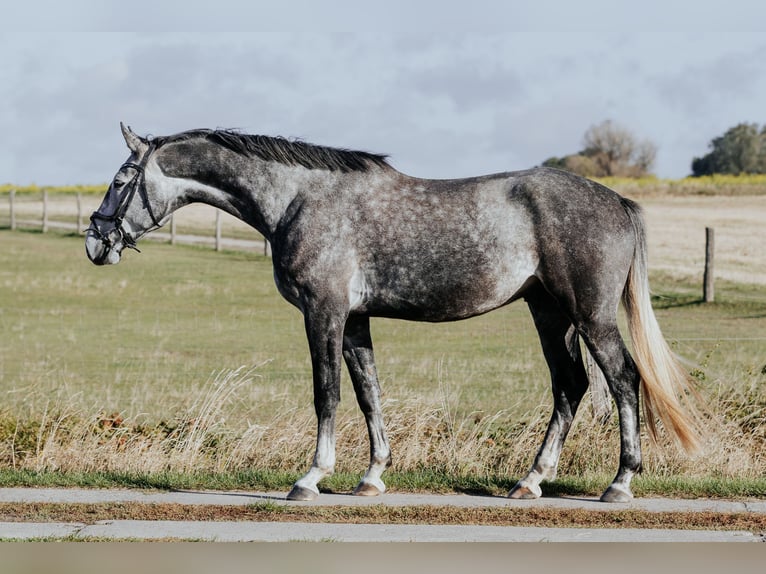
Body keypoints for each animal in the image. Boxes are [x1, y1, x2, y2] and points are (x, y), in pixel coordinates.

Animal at [85, 124, 704, 502]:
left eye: (119, 180)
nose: (96, 242)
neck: (298, 199)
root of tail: (617, 201)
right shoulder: (355, 320)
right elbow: (368, 393)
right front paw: (371, 476)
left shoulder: (325, 312)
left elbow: (327, 392)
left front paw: (311, 477)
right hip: (549, 313)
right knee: (570, 385)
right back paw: (531, 481)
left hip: (591, 317)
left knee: (622, 379)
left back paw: (619, 483)